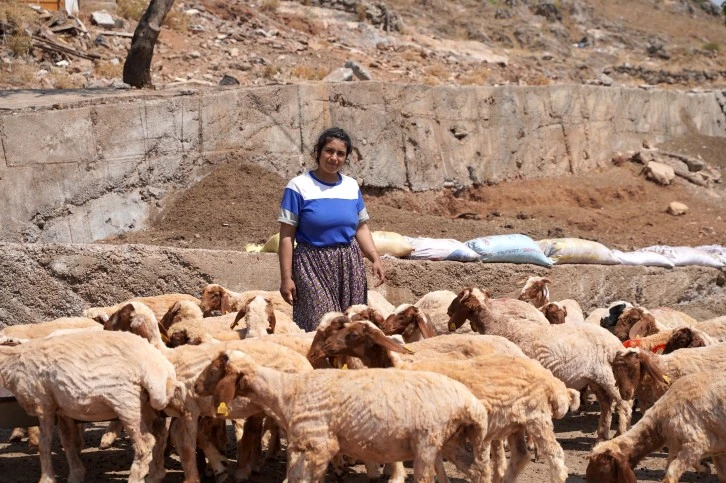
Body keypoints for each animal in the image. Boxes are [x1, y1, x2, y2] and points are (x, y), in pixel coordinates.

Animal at [196, 350, 492, 483]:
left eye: (213, 368)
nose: (196, 386)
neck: (286, 393)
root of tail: (470, 402)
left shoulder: (319, 445)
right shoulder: (303, 445)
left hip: (427, 442)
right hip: (450, 442)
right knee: (479, 471)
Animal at [310, 320, 584, 482]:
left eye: (353, 334)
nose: (325, 346)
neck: (399, 367)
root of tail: (552, 381)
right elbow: (437, 465)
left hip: (537, 419)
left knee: (555, 455)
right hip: (516, 423)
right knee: (520, 457)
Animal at [450, 288, 632, 442]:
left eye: (459, 297)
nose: (448, 311)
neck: (497, 325)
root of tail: (616, 343)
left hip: (609, 377)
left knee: (624, 404)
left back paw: (620, 434)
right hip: (594, 379)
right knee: (606, 404)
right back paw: (602, 436)